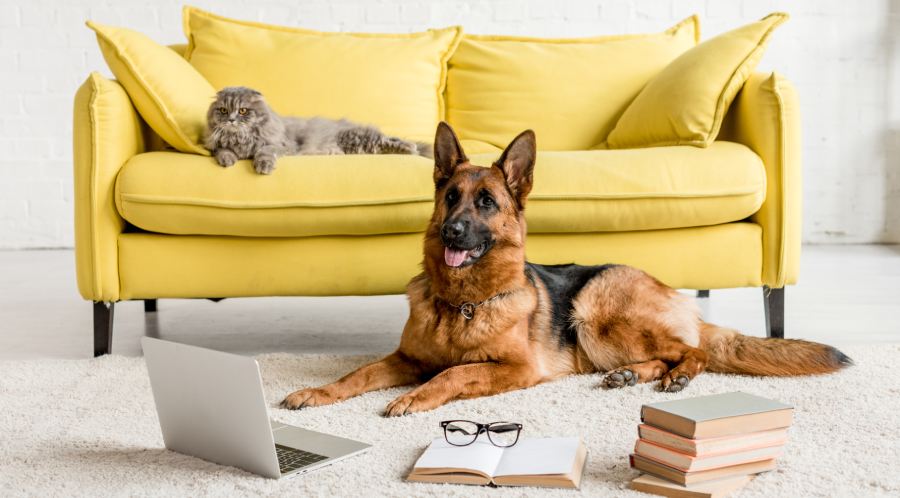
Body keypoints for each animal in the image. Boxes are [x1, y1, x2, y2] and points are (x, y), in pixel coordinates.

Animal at [203, 87, 432, 175]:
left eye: (242, 111)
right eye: (223, 110)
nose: (231, 120)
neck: (240, 139)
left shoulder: (279, 145)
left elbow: (264, 153)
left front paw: (264, 167)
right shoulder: (217, 146)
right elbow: (222, 151)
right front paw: (228, 161)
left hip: (358, 139)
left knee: (391, 140)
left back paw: (411, 148)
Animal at [284, 122, 852, 414]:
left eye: (486, 203)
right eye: (450, 198)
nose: (452, 232)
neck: (464, 302)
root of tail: (673, 294)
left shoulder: (514, 368)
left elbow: (457, 371)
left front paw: (415, 397)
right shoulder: (404, 358)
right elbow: (356, 373)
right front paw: (317, 392)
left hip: (596, 314)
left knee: (695, 352)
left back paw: (676, 378)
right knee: (666, 354)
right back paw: (632, 375)